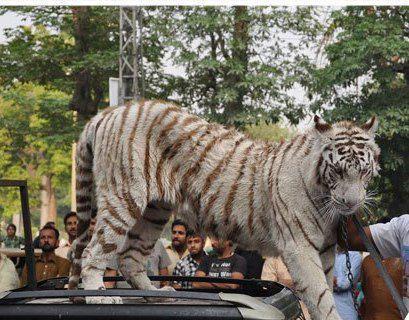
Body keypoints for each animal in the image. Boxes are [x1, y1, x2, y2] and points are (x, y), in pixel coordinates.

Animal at [69, 99, 380, 318]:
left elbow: (325, 291)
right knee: (91, 251)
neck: (324, 197)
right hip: (124, 198)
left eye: (364, 171)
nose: (352, 203)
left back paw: (159, 294)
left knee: (128, 258)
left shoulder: (326, 249)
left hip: (154, 211)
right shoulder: (299, 248)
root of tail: (110, 112)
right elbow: (321, 298)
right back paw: (99, 297)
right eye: (337, 171)